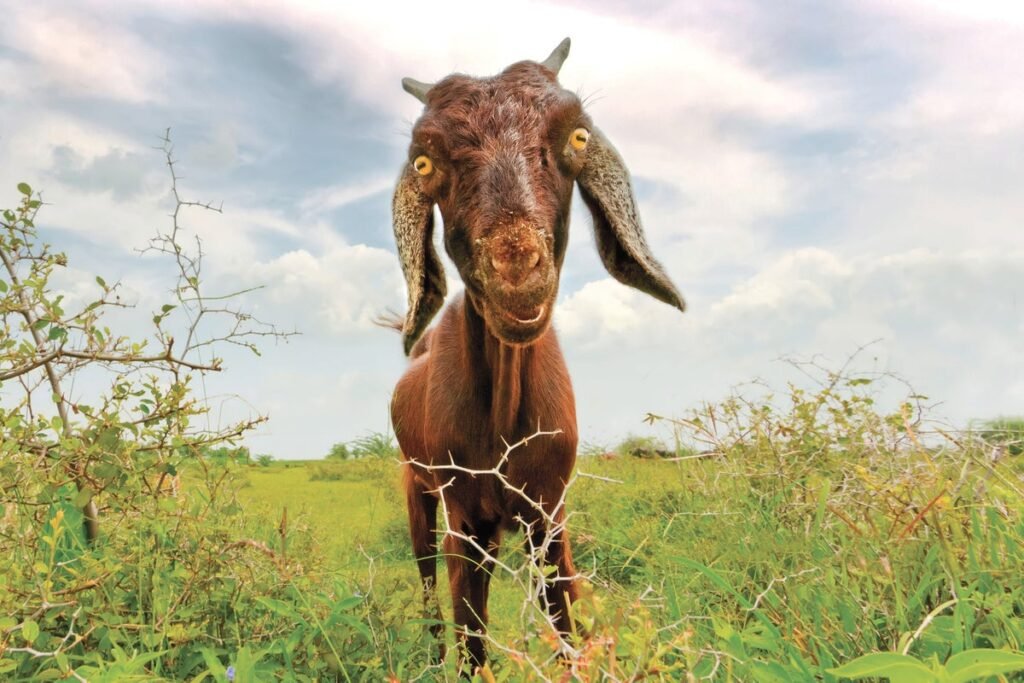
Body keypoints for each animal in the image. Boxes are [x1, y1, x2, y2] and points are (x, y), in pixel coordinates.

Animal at [388, 37, 685, 671]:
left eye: (577, 136)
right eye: (424, 164)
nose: (517, 271)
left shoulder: (550, 512)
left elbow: (567, 625)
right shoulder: (465, 519)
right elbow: (472, 641)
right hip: (417, 487)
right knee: (425, 580)